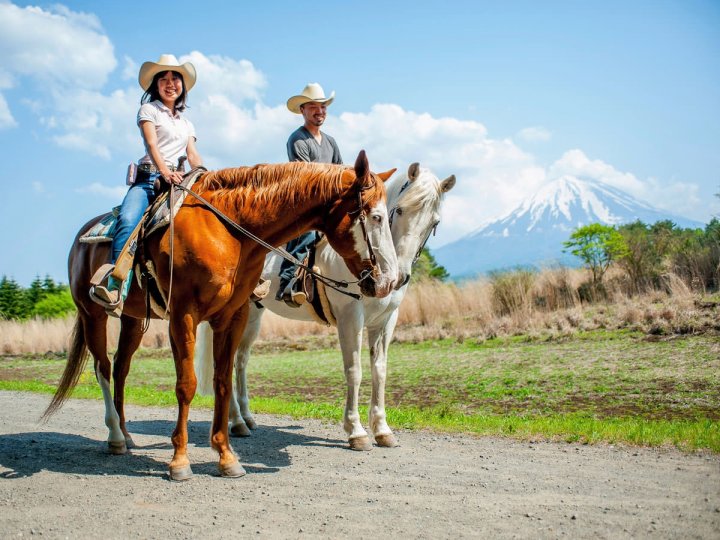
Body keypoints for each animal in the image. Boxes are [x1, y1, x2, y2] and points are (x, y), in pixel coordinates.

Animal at [43, 150, 400, 478]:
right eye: (376, 217)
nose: (388, 282)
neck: (230, 231)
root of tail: (82, 236)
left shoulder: (232, 316)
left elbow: (222, 381)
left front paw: (227, 457)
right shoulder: (183, 315)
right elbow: (187, 384)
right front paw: (180, 461)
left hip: (132, 320)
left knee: (120, 369)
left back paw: (127, 436)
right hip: (93, 314)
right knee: (102, 368)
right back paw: (115, 435)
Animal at [194, 162, 456, 450]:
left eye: (434, 222)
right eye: (399, 210)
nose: (397, 278)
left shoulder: (387, 320)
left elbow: (380, 371)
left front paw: (382, 429)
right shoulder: (351, 317)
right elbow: (354, 371)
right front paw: (356, 431)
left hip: (254, 314)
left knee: (240, 361)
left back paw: (245, 419)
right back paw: (237, 421)